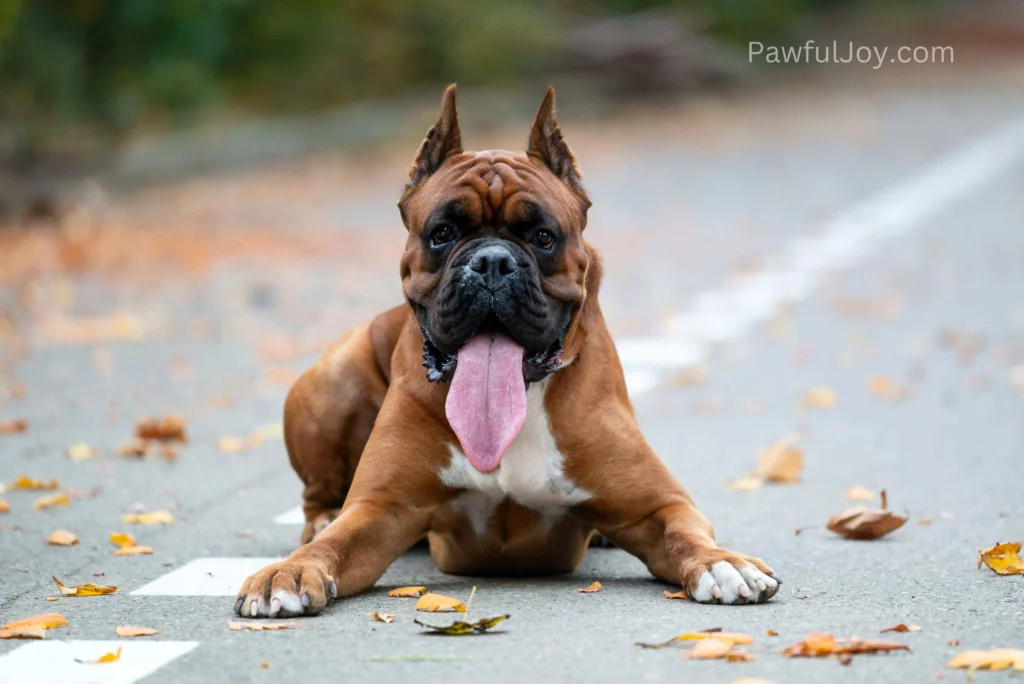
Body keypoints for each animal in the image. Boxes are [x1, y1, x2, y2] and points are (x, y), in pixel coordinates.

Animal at [234, 87, 774, 618]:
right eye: (442, 234)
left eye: (543, 237)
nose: (492, 262)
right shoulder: (381, 508)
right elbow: (336, 544)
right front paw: (290, 570)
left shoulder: (659, 506)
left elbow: (684, 534)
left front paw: (723, 563)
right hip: (334, 379)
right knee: (318, 497)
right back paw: (322, 518)